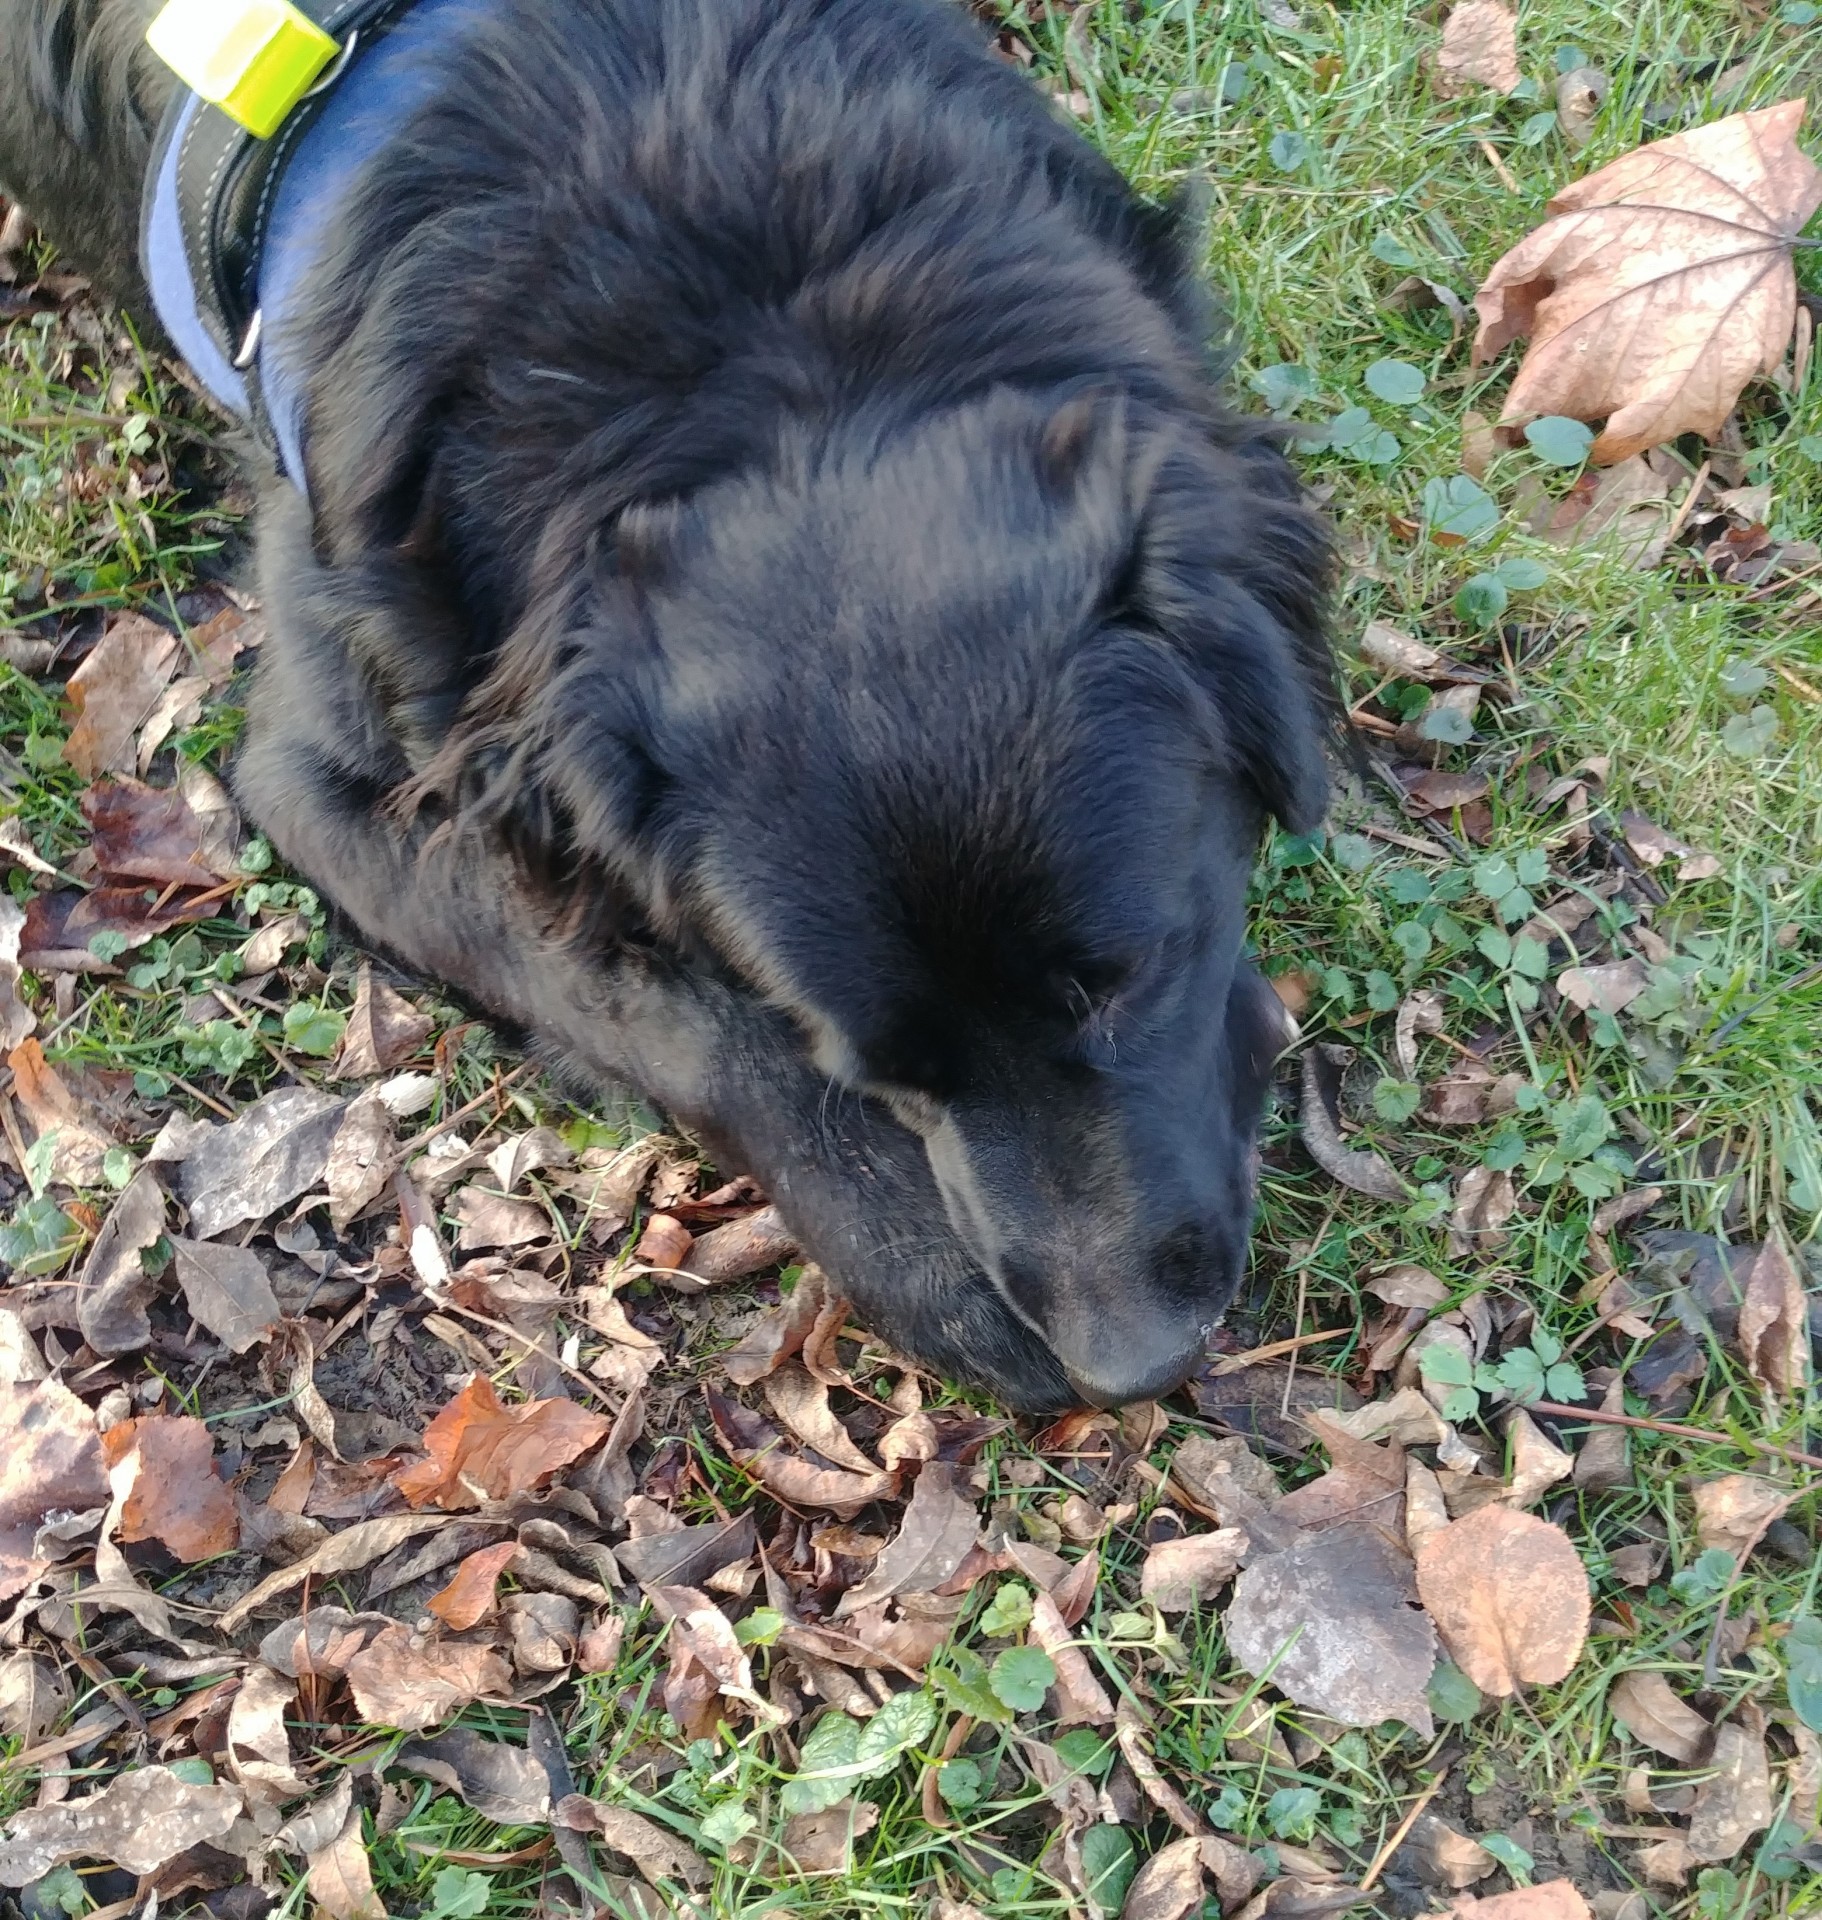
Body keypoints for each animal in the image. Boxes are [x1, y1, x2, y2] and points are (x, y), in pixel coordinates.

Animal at [1, 0, 1334, 1410]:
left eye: (1131, 981)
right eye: (879, 1075)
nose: (1129, 1362)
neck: (756, 327)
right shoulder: (319, 781)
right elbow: (661, 1011)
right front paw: (917, 1251)